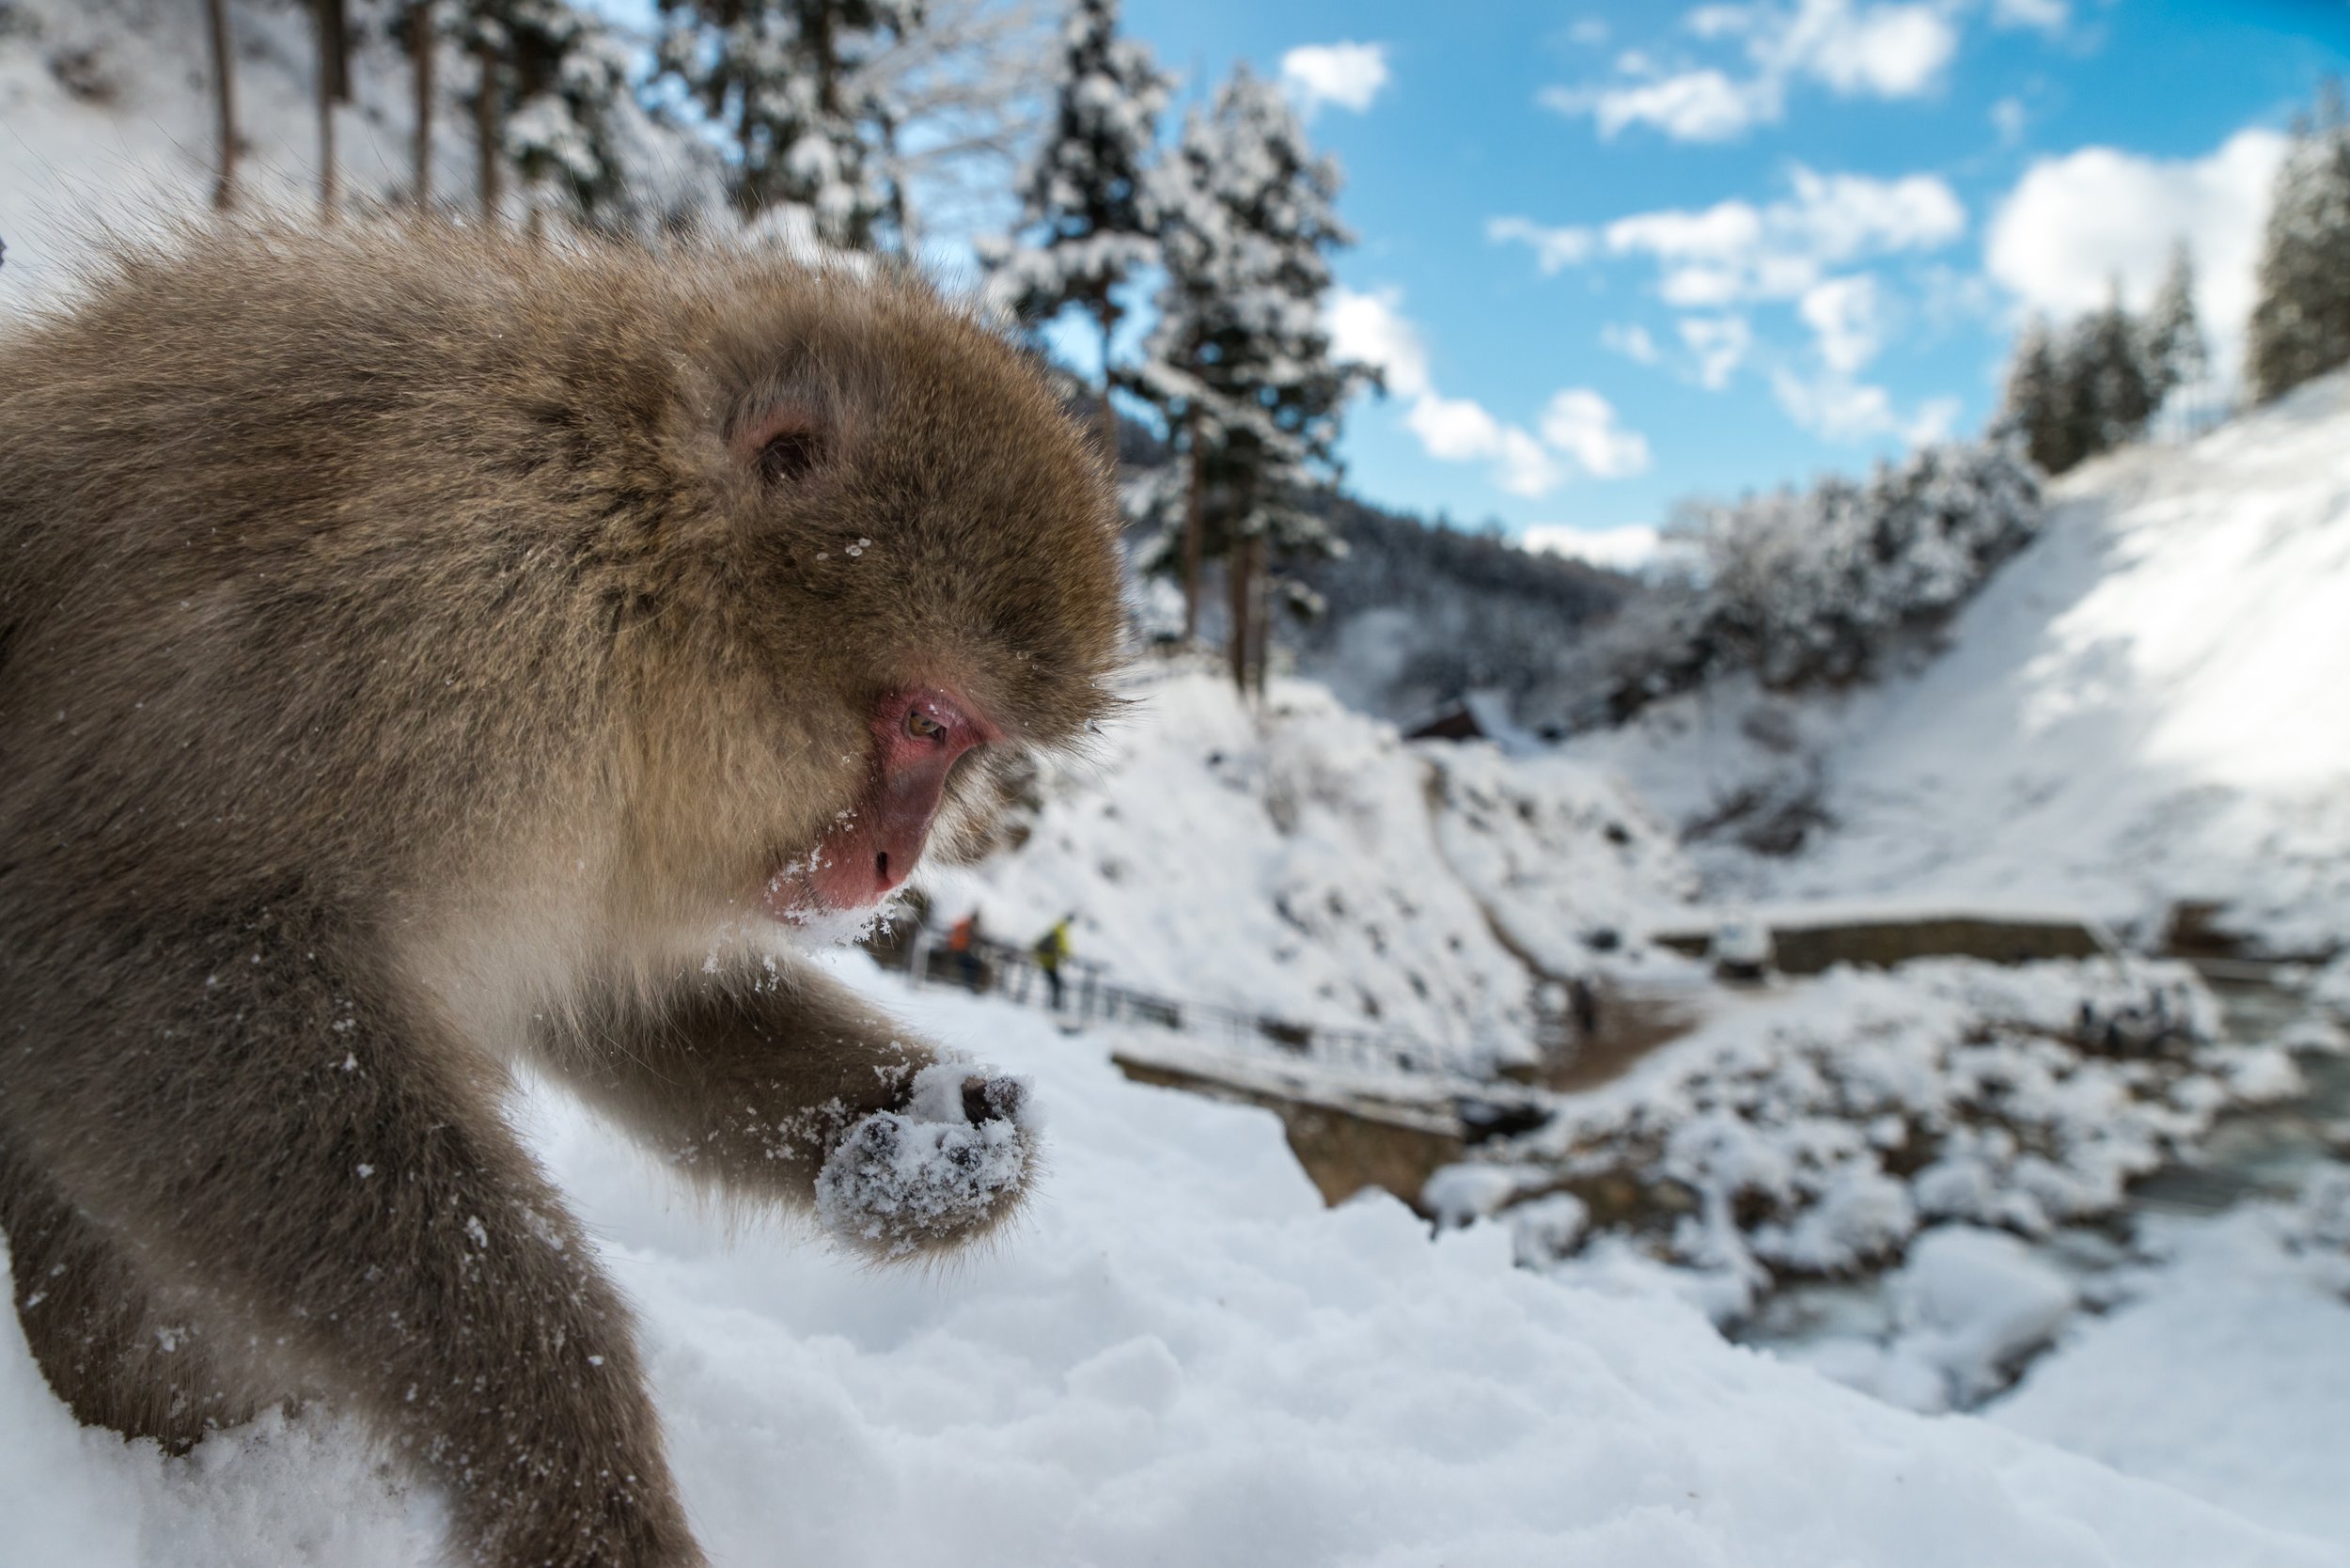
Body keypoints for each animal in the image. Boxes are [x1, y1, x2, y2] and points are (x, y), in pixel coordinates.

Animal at [0, 220, 1125, 1568]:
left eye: (963, 752)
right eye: (926, 724)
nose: (896, 863)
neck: (630, 555)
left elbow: (616, 995)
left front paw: (933, 1140)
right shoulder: (420, 620)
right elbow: (130, 956)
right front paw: (561, 1456)